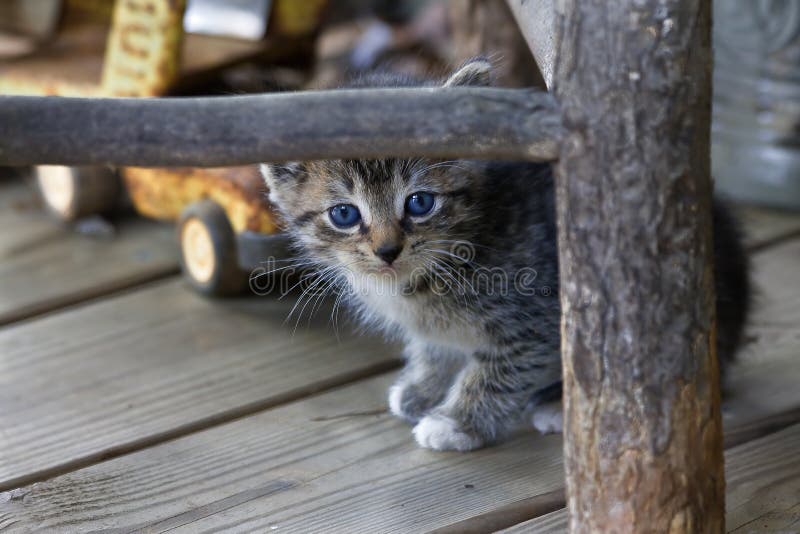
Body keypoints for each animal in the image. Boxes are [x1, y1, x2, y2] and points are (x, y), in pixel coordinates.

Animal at [260, 58, 752, 452]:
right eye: (344, 214)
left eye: (419, 203)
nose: (387, 250)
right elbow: (434, 346)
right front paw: (424, 387)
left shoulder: (536, 317)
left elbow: (498, 372)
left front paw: (458, 422)